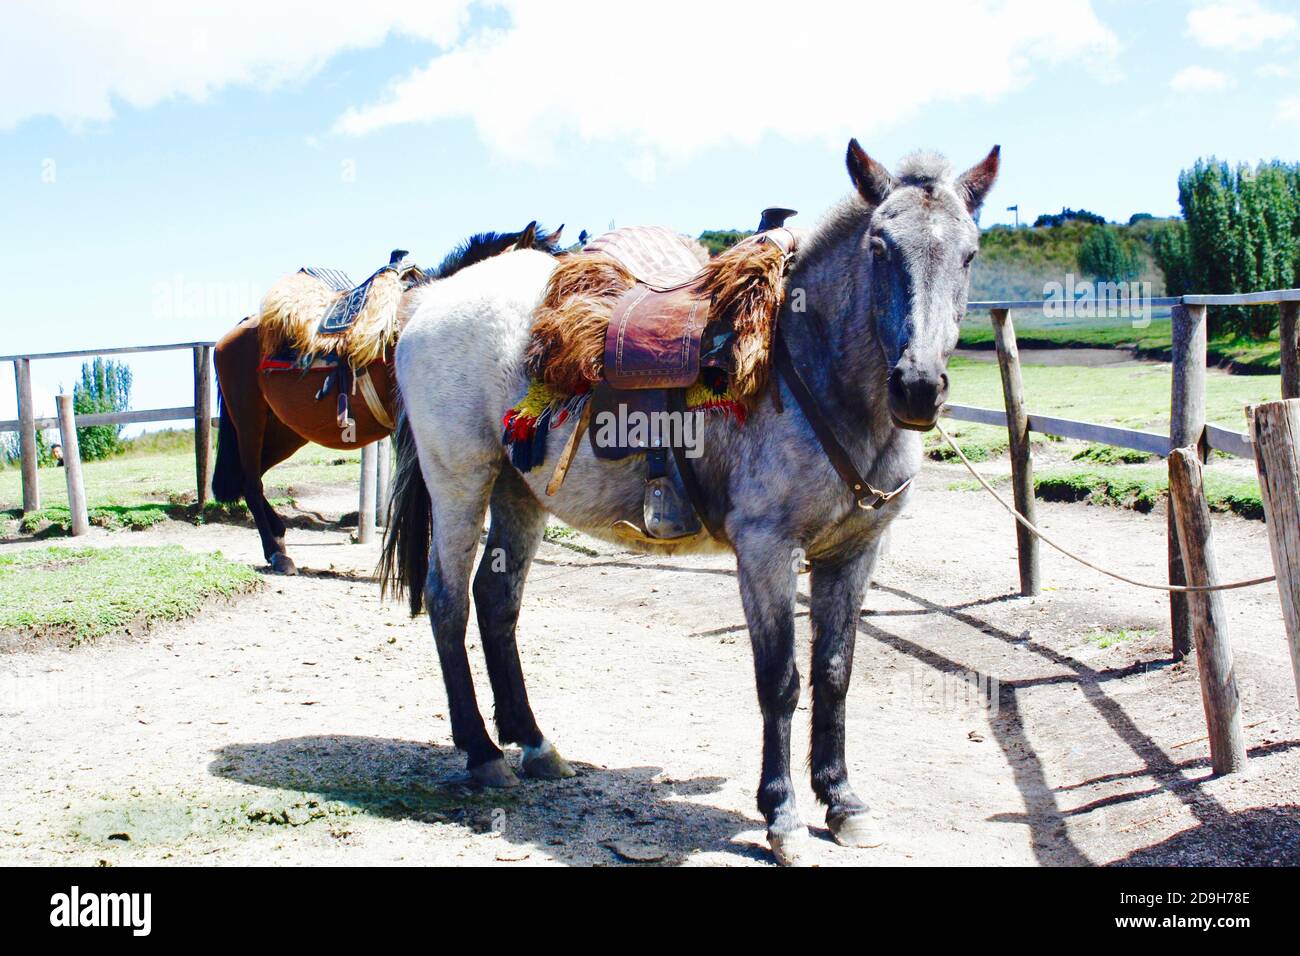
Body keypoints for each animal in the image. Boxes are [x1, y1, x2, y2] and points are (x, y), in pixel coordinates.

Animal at [213, 223, 564, 567]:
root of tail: (230, 336)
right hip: (249, 420)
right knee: (250, 481)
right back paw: (276, 551)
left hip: (286, 431)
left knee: (253, 477)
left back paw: (278, 533)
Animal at [379, 141, 998, 868]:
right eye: (880, 246)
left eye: (969, 252)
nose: (918, 387)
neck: (808, 369)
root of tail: (429, 300)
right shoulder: (766, 552)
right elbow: (780, 680)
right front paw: (782, 815)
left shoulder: (856, 553)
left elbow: (836, 673)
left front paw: (843, 801)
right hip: (460, 481)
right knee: (447, 601)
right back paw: (480, 753)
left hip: (518, 491)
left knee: (496, 602)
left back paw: (534, 744)